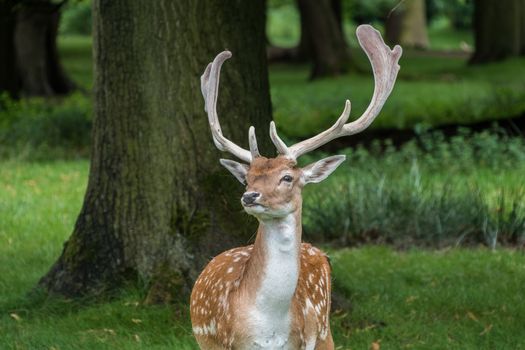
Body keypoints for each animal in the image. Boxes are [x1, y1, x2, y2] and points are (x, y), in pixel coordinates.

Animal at [190, 25, 400, 350]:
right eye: (248, 178)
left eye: (287, 177)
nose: (249, 196)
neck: (269, 329)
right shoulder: (229, 344)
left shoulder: (301, 342)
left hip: (325, 331)